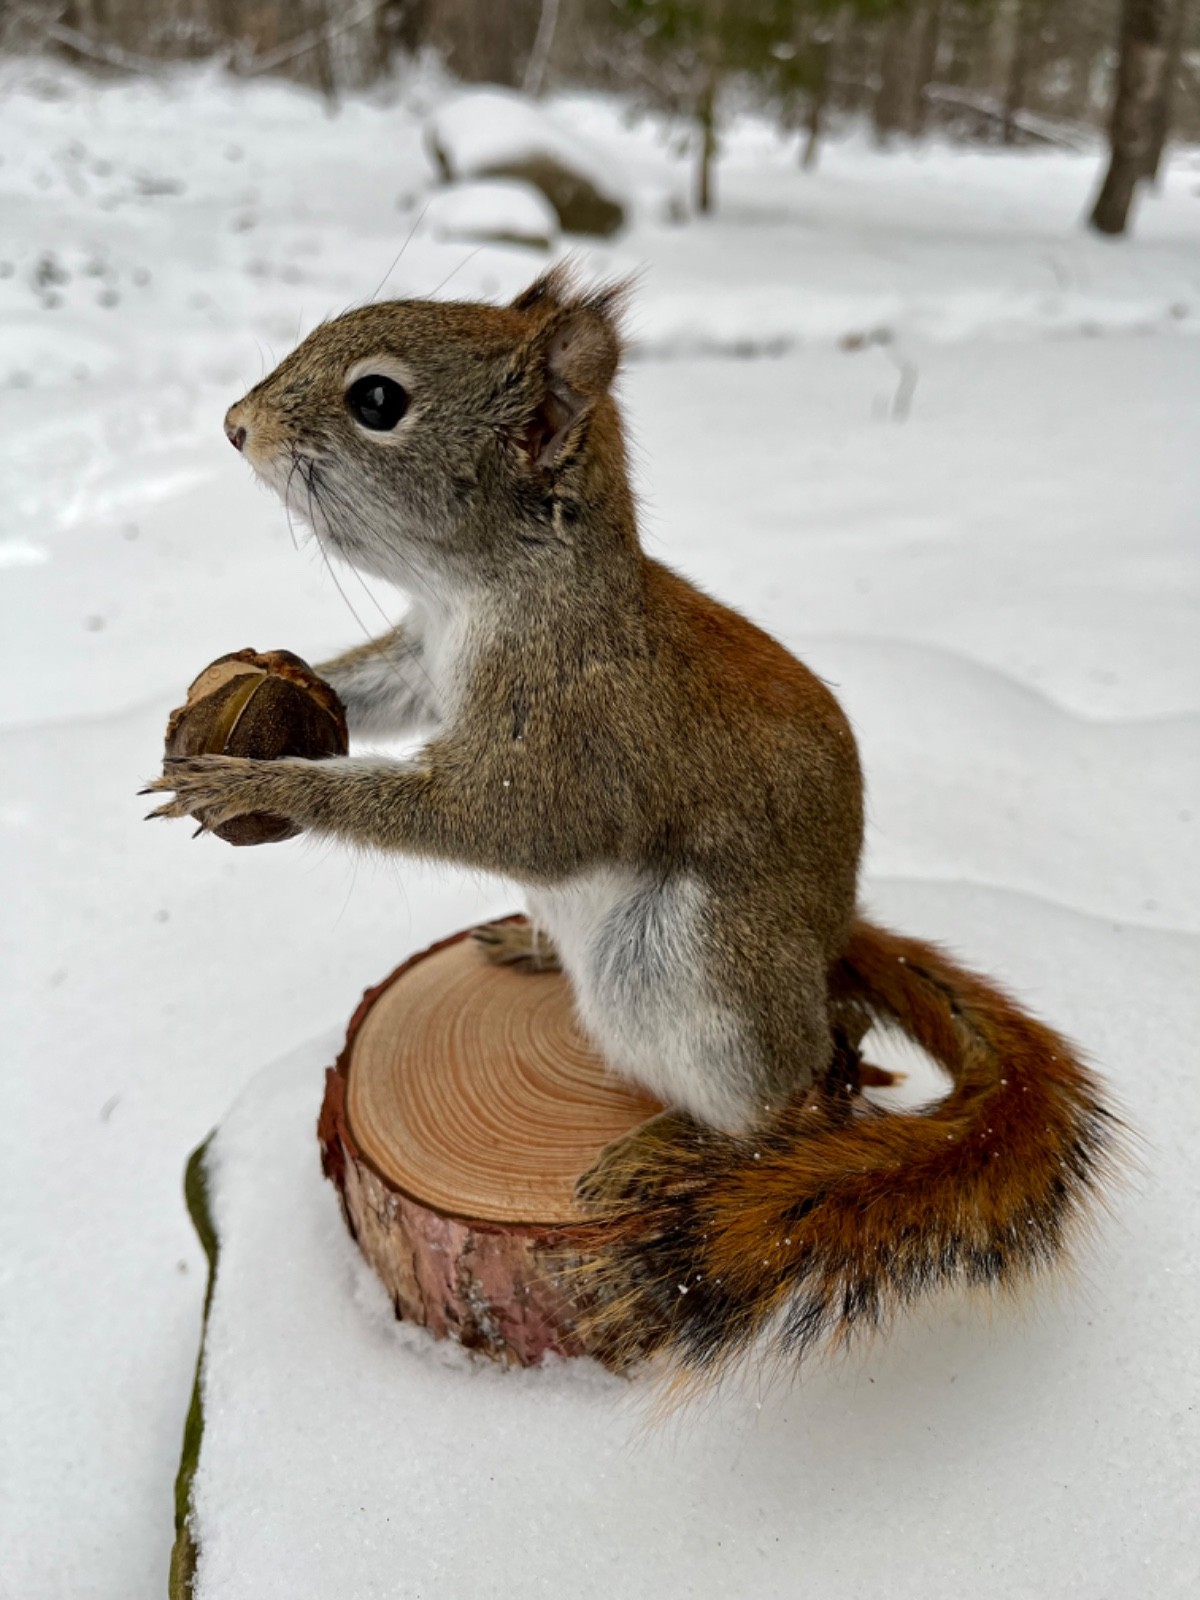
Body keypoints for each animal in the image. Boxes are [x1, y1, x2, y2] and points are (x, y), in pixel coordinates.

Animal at [147, 266, 1121, 1378]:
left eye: (379, 401)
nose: (236, 425)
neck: (483, 594)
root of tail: (830, 944)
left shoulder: (574, 736)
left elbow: (508, 826)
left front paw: (262, 784)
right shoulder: (424, 656)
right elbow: (372, 686)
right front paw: (258, 683)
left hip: (692, 965)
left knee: (787, 1099)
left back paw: (678, 1144)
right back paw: (529, 945)